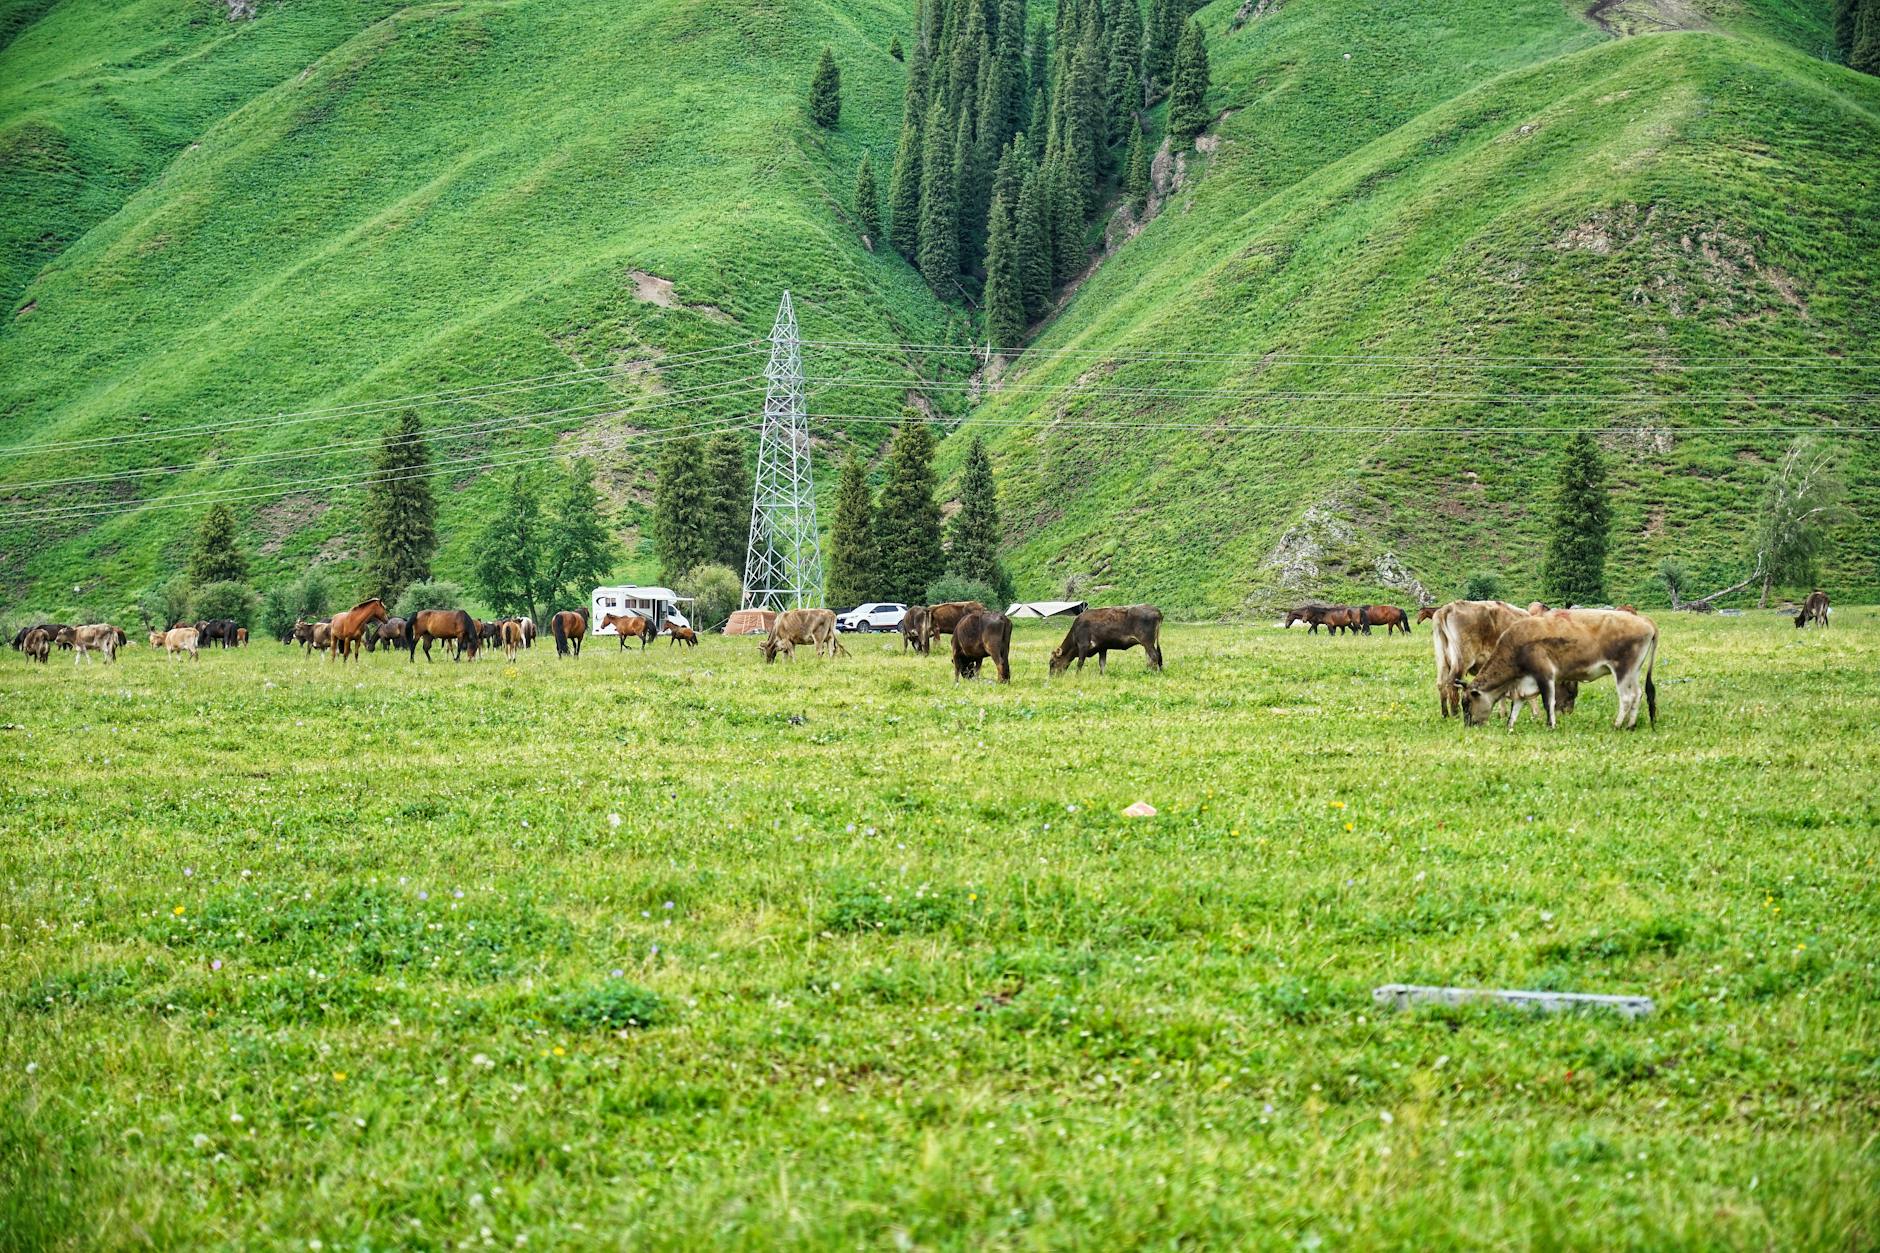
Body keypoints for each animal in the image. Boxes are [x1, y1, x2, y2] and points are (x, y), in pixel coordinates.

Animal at [1462, 609, 1659, 730]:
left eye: (1467, 703)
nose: (1468, 725)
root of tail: (1645, 620)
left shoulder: (1544, 674)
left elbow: (1548, 702)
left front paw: (1551, 725)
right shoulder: (1522, 684)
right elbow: (1515, 707)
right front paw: (1509, 726)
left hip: (1622, 670)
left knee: (1627, 697)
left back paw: (1617, 725)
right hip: (1633, 672)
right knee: (1638, 694)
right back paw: (1630, 725)